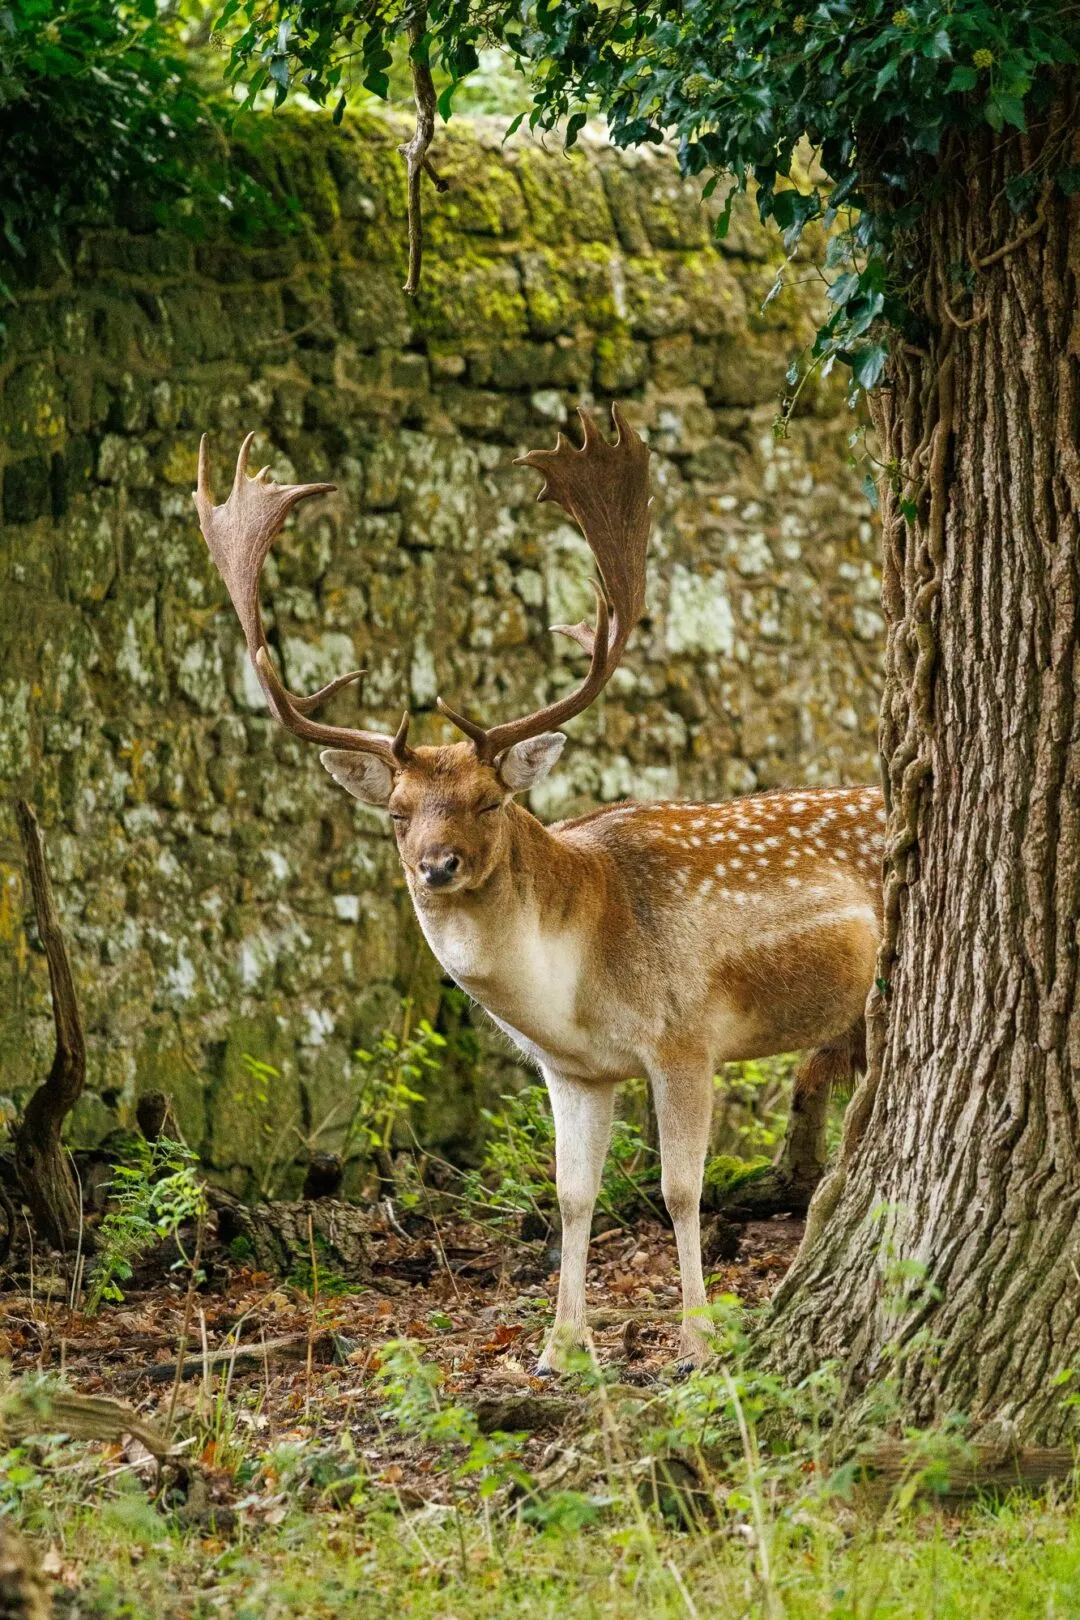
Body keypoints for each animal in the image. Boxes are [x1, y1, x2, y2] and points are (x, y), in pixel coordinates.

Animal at [193, 406, 885, 1370]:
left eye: (490, 800)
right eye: (398, 812)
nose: (435, 866)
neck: (575, 982)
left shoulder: (685, 1037)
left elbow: (679, 1189)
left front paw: (696, 1339)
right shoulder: (572, 1071)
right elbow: (571, 1195)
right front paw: (561, 1347)